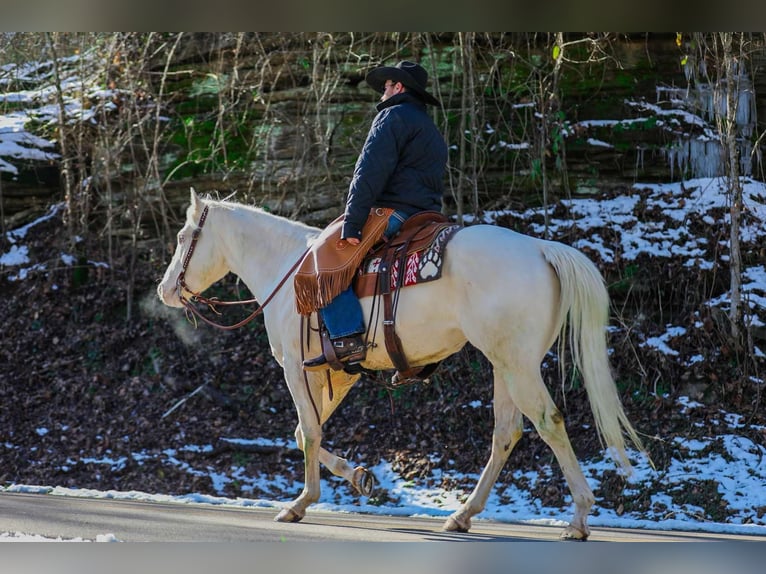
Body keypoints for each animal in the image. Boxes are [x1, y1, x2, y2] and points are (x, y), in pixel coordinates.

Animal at [159, 190, 644, 544]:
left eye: (184, 237)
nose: (165, 290)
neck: (286, 268)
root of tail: (540, 249)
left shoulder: (296, 368)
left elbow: (309, 432)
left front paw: (301, 503)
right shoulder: (334, 375)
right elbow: (304, 432)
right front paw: (358, 478)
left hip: (517, 366)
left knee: (548, 422)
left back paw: (578, 518)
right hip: (504, 365)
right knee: (507, 433)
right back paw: (463, 515)